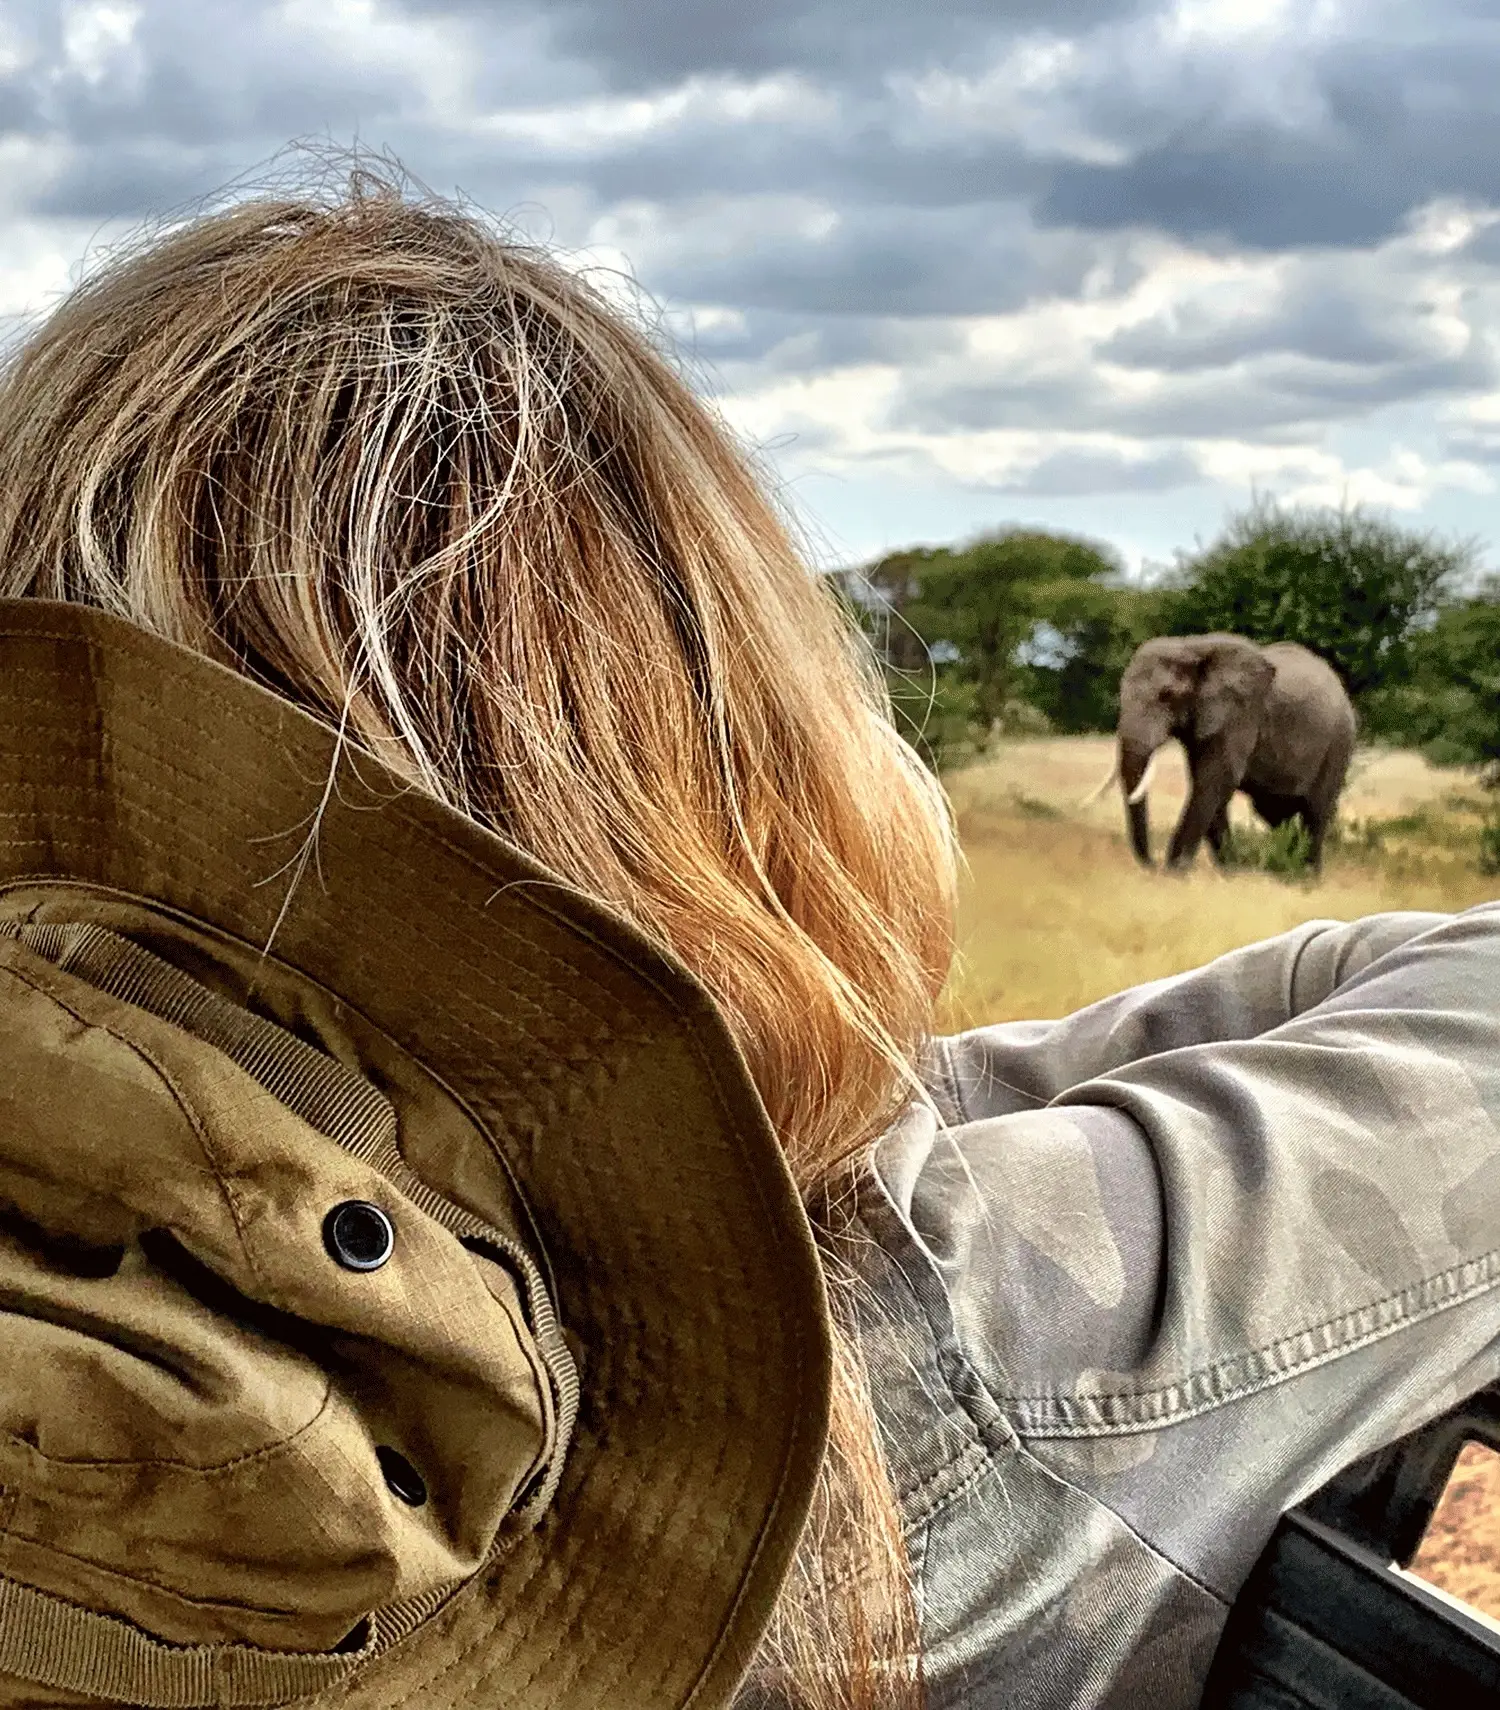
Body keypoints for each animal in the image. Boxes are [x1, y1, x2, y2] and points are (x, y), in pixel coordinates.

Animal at [1101, 632, 1354, 875]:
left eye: (1167, 695)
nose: (1153, 864)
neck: (1191, 646)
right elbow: (1207, 785)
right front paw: (1231, 871)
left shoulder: (1239, 715)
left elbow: (1214, 780)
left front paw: (1176, 871)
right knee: (1280, 815)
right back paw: (1283, 869)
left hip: (1338, 744)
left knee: (1316, 813)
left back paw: (1307, 876)